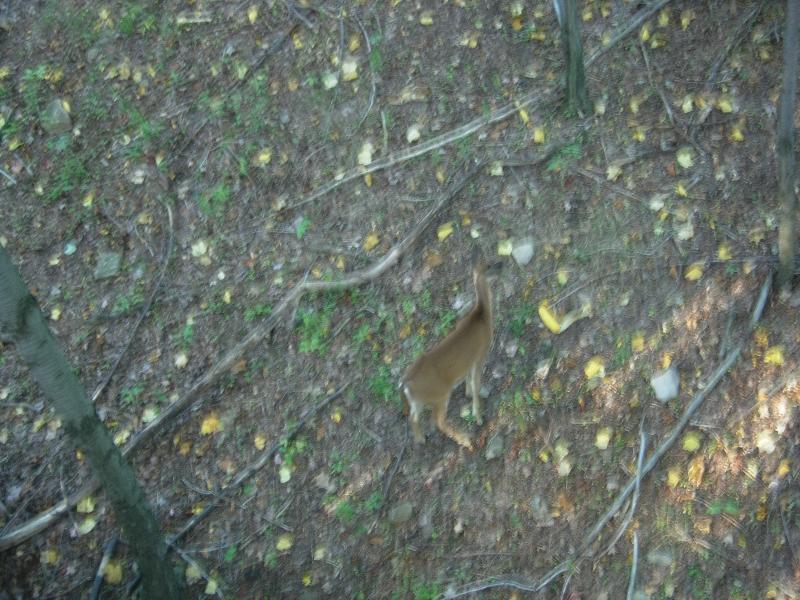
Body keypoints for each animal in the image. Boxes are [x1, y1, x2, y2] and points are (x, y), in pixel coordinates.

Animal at [400, 249, 503, 451]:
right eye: (489, 265)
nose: (502, 264)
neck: (481, 316)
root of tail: (406, 383)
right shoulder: (480, 354)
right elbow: (476, 382)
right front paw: (478, 417)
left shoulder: (469, 361)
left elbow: (468, 378)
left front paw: (468, 393)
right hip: (440, 394)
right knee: (438, 421)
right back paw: (466, 440)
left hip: (419, 400)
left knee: (413, 418)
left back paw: (421, 439)